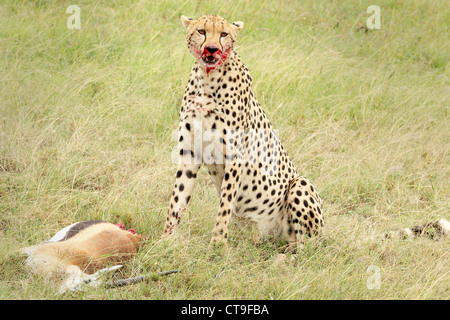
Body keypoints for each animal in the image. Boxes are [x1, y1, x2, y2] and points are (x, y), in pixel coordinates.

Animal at [162, 15, 324, 251]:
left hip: (300, 184)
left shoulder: (235, 156)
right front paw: (164, 240)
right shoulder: (190, 153)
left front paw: (217, 244)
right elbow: (177, 199)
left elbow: (225, 206)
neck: (207, 79)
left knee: (307, 248)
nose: (212, 49)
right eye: (201, 31)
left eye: (223, 34)